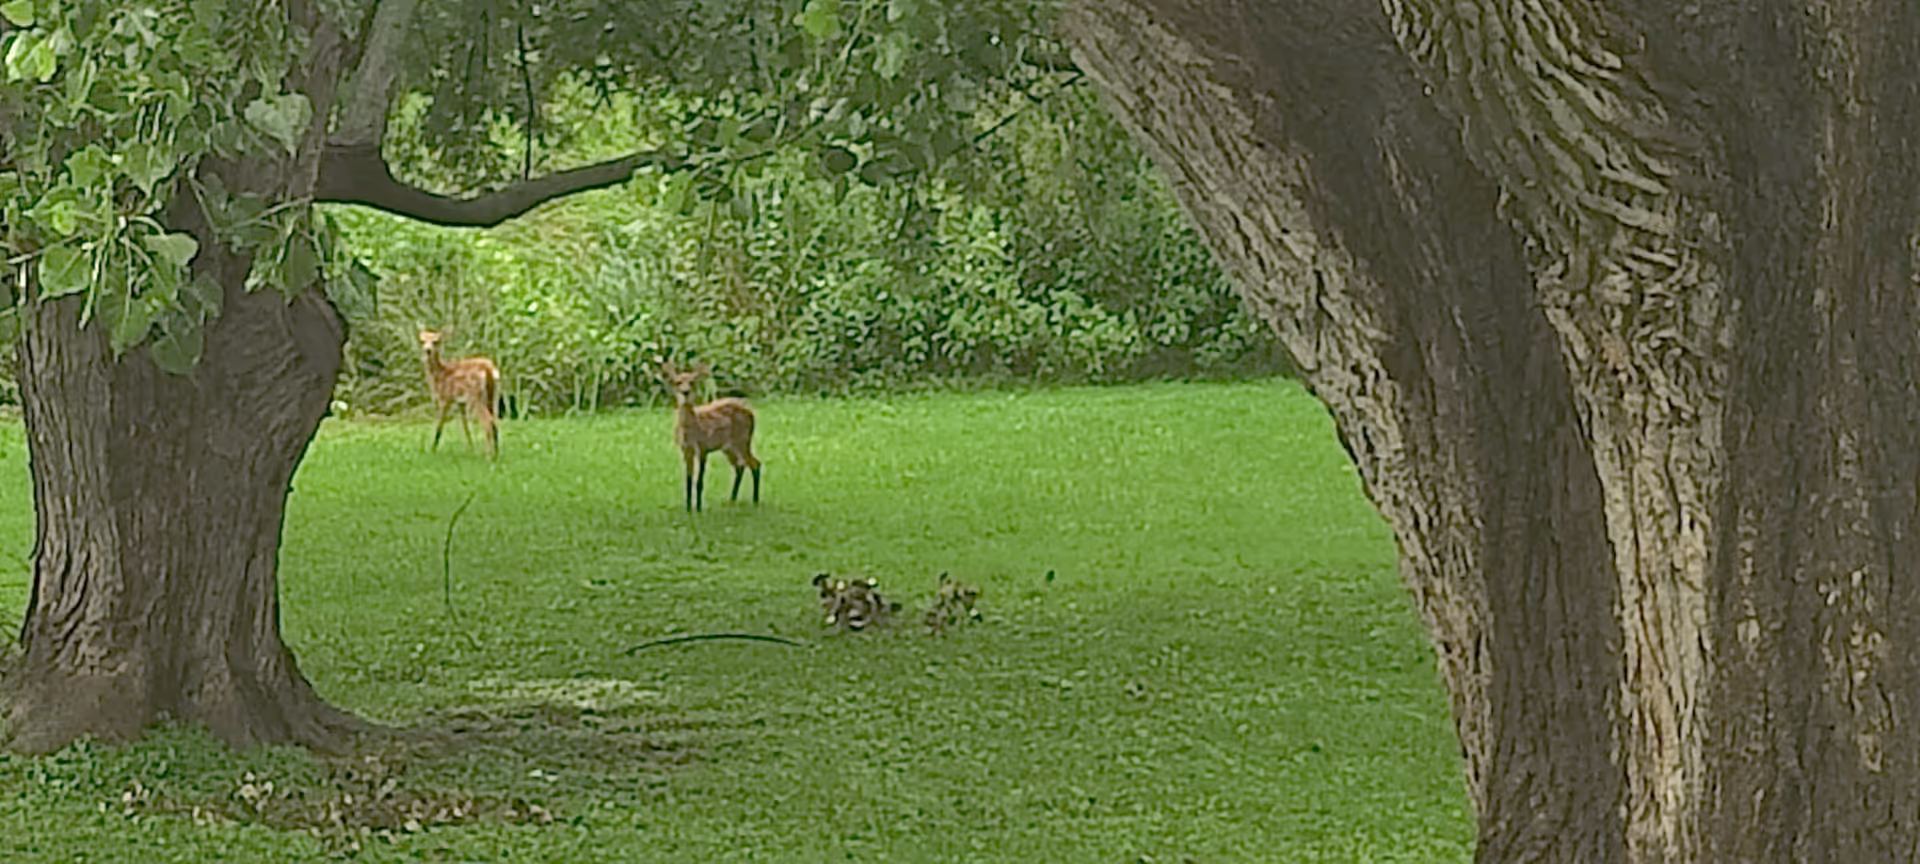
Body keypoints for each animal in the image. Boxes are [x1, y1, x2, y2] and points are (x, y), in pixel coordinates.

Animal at [418, 328, 501, 460]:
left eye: (436, 341)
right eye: (422, 340)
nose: (428, 350)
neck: (439, 375)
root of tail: (488, 369)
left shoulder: (445, 398)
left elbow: (439, 425)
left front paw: (432, 449)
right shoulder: (460, 402)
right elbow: (465, 425)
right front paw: (471, 448)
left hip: (475, 396)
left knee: (487, 420)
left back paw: (488, 455)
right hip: (493, 395)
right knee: (495, 420)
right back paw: (496, 453)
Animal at [662, 361, 761, 511]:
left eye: (692, 382)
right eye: (678, 382)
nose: (685, 392)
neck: (693, 429)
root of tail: (751, 411)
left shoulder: (703, 447)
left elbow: (699, 482)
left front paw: (698, 509)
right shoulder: (686, 450)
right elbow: (688, 480)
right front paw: (688, 508)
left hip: (742, 441)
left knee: (755, 464)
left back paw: (755, 501)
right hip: (729, 447)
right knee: (740, 466)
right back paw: (732, 500)